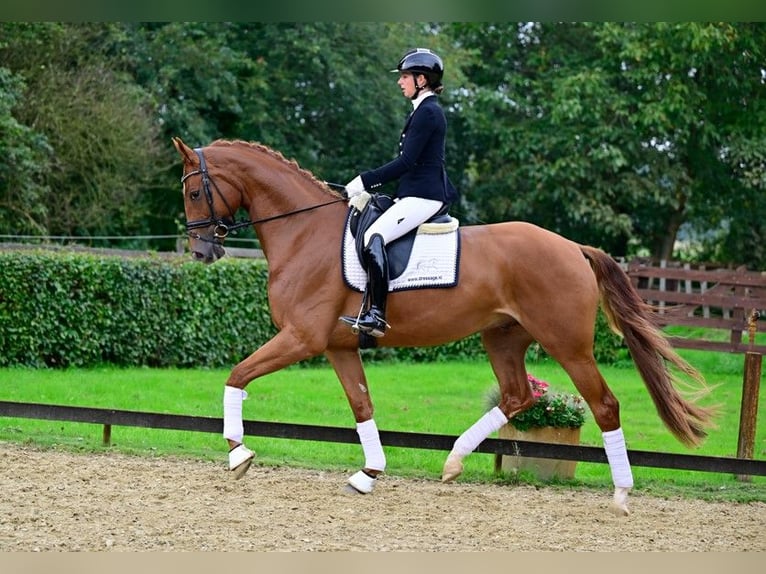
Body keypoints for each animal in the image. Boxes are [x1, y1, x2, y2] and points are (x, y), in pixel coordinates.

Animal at [171, 136, 716, 516]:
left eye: (196, 190)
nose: (202, 251)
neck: (305, 232)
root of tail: (572, 248)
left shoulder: (300, 339)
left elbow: (237, 375)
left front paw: (239, 453)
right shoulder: (338, 347)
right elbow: (362, 406)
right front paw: (370, 473)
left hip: (569, 345)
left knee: (603, 404)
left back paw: (621, 494)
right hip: (502, 337)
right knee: (519, 395)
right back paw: (453, 461)